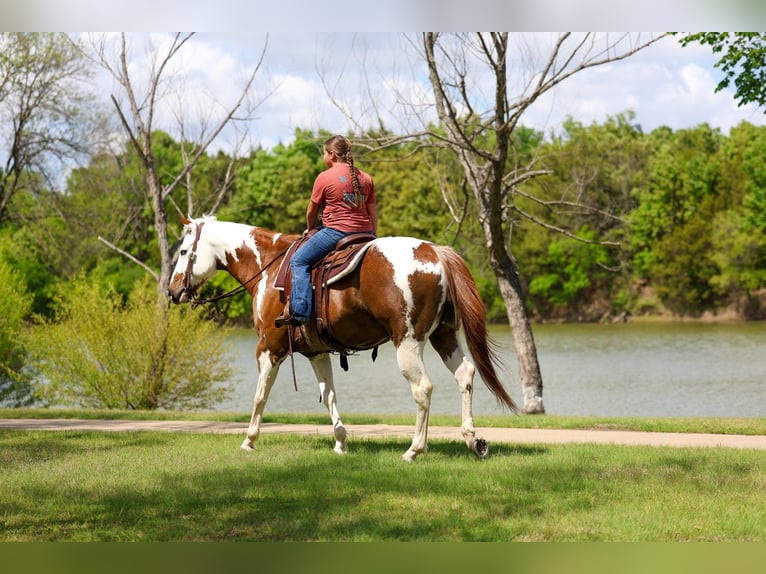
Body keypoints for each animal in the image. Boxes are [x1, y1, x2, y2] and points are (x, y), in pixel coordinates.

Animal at [167, 215, 517, 461]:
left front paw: (249, 440)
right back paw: (471, 440)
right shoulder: (317, 352)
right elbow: (330, 396)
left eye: (184, 251)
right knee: (465, 375)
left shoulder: (268, 347)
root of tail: (434, 252)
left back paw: (415, 449)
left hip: (407, 342)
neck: (269, 266)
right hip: (443, 336)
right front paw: (341, 442)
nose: (172, 291)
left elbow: (259, 397)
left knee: (423, 388)